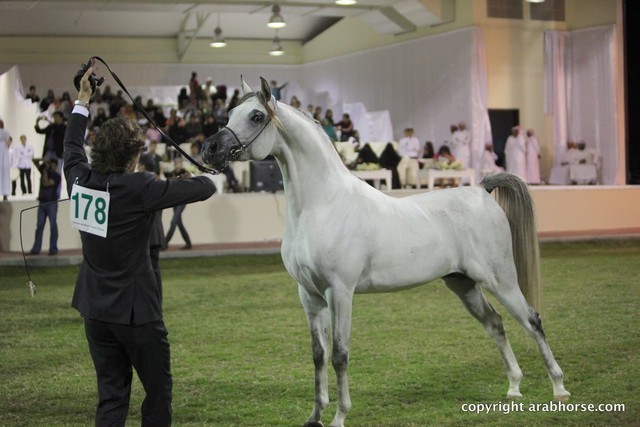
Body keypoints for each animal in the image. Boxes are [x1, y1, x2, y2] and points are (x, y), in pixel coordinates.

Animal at [202, 77, 570, 427]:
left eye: (256, 115)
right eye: (229, 113)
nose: (209, 148)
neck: (323, 205)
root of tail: (482, 190)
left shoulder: (340, 292)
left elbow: (339, 354)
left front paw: (339, 416)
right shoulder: (309, 295)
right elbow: (318, 355)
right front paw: (315, 416)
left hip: (500, 280)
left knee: (532, 320)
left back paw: (559, 388)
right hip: (463, 283)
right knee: (495, 324)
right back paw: (514, 387)